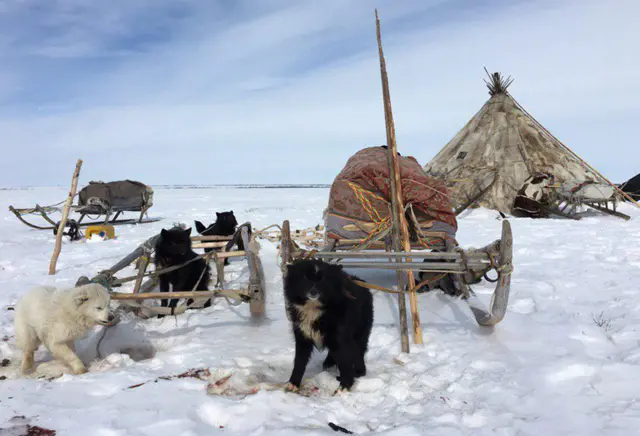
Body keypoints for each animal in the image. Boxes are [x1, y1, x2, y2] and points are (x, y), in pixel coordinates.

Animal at [282, 258, 372, 396]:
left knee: (359, 351)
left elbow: (346, 363)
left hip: (360, 332)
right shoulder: (302, 336)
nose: (313, 292)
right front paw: (293, 384)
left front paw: (344, 387)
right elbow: (299, 362)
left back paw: (359, 371)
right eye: (305, 277)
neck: (313, 308)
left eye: (322, 279)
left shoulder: (341, 338)